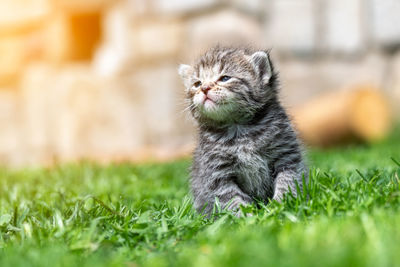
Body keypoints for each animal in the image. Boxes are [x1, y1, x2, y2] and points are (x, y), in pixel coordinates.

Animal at [178, 46, 306, 217]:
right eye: (197, 84)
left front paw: (281, 207)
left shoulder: (287, 155)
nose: (204, 88)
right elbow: (231, 198)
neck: (239, 129)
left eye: (225, 78)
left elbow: (288, 182)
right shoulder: (217, 173)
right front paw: (246, 218)